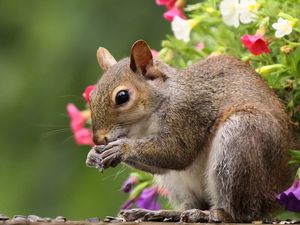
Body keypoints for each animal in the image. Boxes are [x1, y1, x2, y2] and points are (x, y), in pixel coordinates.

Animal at [85, 40, 296, 221]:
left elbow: (178, 153)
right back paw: (163, 213)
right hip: (178, 184)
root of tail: (275, 193)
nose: (98, 139)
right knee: (192, 203)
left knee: (241, 213)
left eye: (122, 96)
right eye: (92, 96)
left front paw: (122, 149)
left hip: (240, 142)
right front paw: (93, 155)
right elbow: (162, 164)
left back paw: (211, 214)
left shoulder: (188, 113)